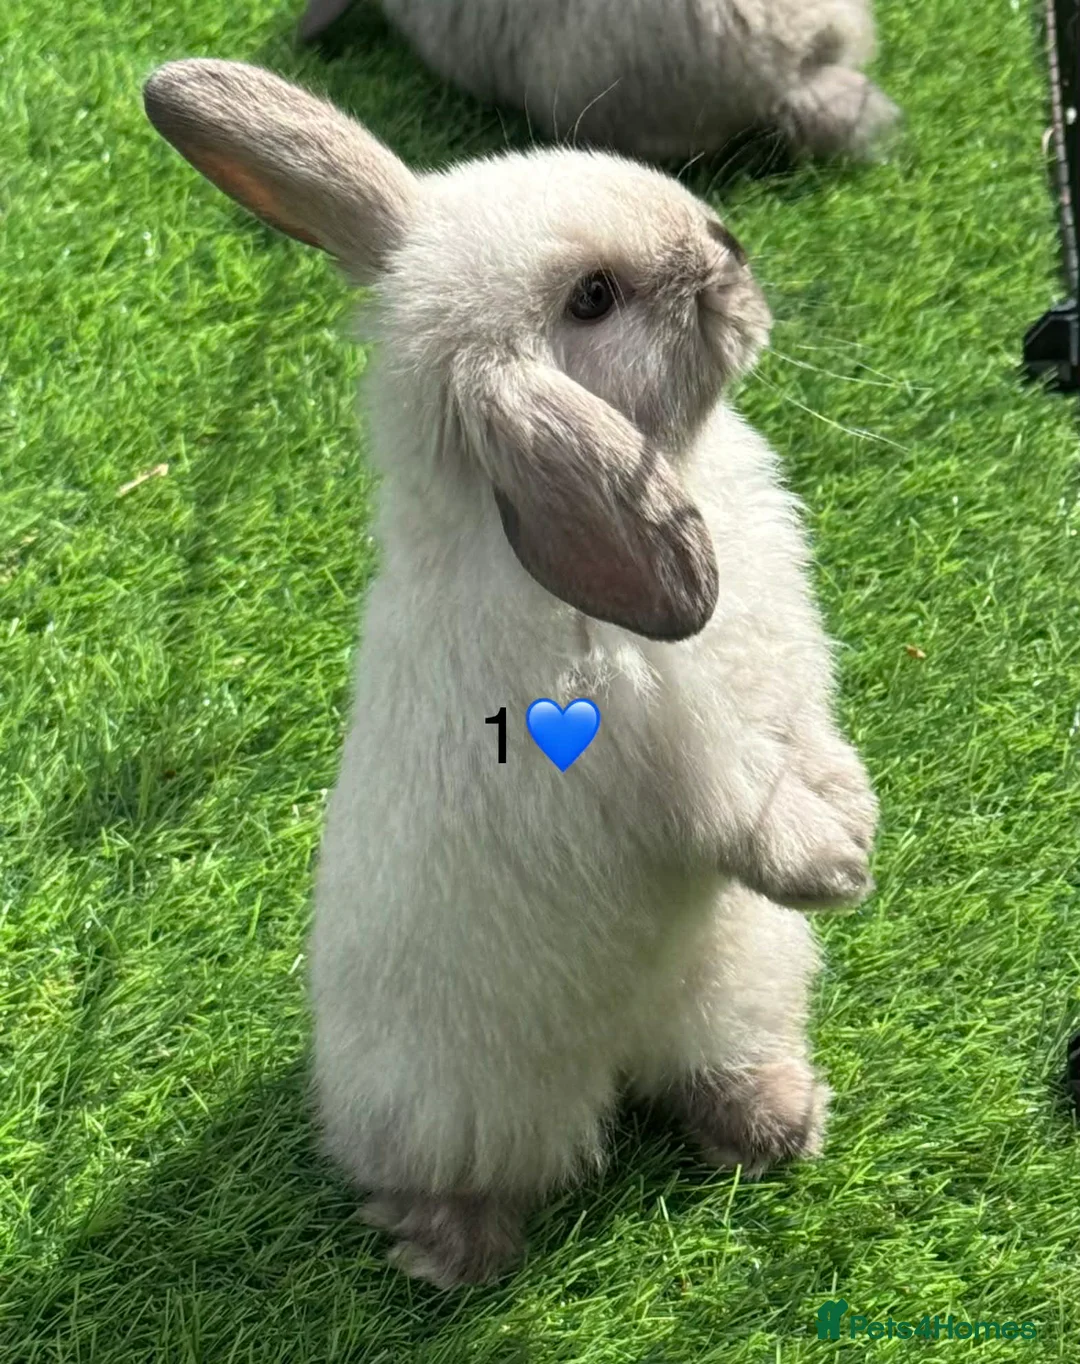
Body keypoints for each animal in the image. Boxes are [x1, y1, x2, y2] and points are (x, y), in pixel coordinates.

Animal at [143, 58, 879, 1289]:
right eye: (592, 299)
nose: (728, 244)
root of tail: (617, 1050)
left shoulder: (785, 674)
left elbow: (812, 740)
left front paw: (857, 820)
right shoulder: (669, 748)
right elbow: (744, 808)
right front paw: (836, 866)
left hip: (738, 981)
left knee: (714, 1069)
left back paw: (781, 1122)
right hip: (459, 1100)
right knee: (461, 1174)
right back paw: (449, 1254)